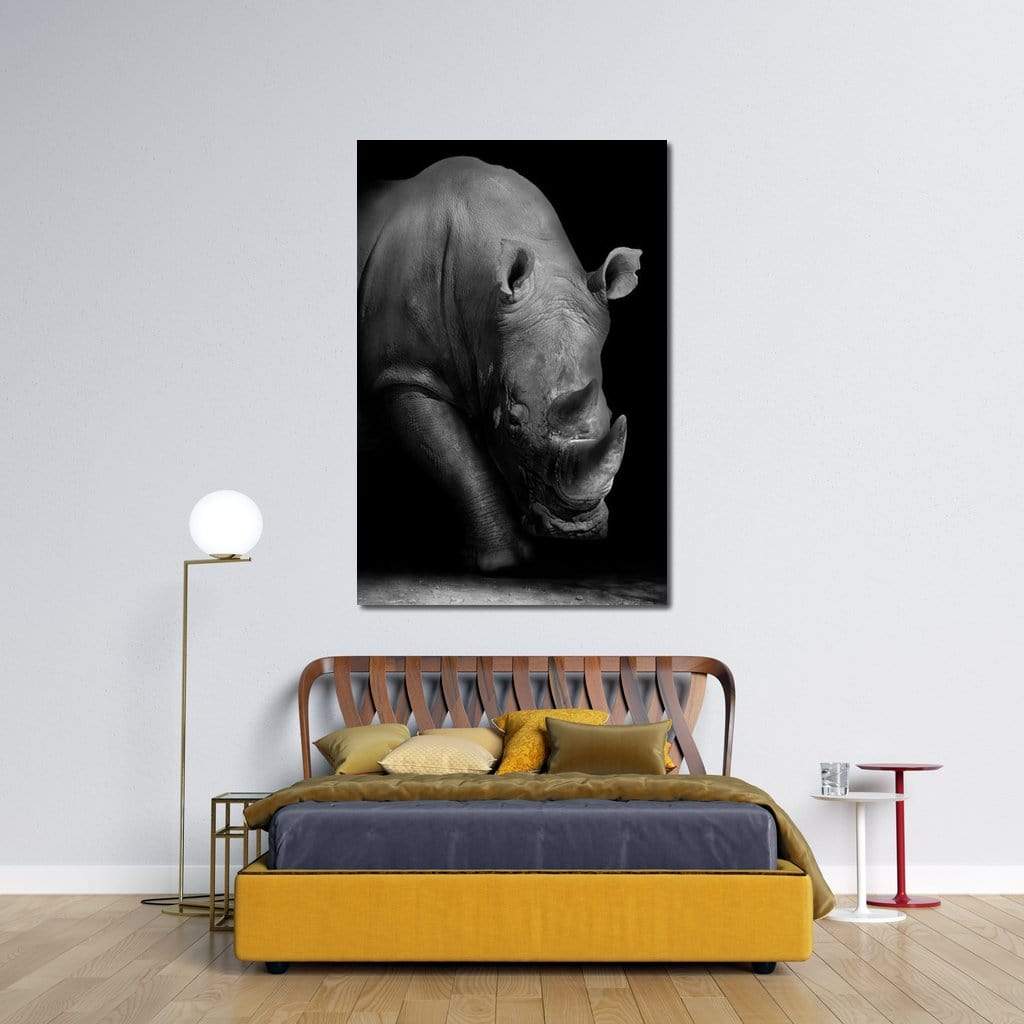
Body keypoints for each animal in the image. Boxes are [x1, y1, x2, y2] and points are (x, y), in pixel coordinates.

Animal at [358, 156, 641, 572]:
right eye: (513, 420)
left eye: (607, 415)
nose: (576, 531)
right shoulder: (404, 372)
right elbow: (458, 461)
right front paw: (501, 563)